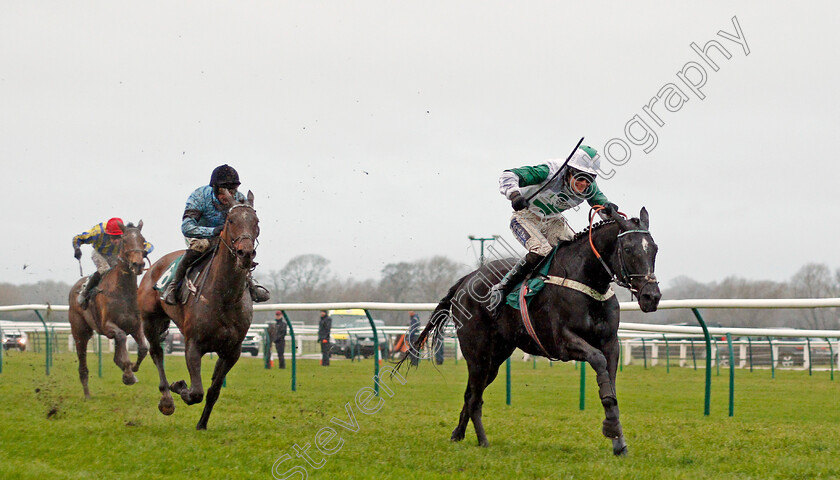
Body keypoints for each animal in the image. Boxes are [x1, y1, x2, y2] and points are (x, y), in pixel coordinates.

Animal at [68, 221, 149, 398]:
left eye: (142, 240)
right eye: (125, 240)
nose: (138, 264)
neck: (123, 292)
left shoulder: (136, 325)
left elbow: (143, 348)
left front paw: (132, 370)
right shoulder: (107, 326)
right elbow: (121, 338)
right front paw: (128, 374)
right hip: (80, 332)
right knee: (82, 364)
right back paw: (87, 394)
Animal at [137, 191, 260, 432]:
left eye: (256, 222)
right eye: (231, 221)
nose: (245, 253)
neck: (225, 296)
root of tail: (153, 266)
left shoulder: (232, 351)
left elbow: (213, 391)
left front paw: (202, 423)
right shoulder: (193, 345)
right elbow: (196, 392)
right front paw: (178, 385)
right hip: (150, 320)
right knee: (157, 353)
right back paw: (166, 399)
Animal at [400, 206, 664, 454]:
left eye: (654, 248)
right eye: (628, 249)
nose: (651, 296)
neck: (587, 280)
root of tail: (468, 279)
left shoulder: (610, 343)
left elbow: (611, 383)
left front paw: (619, 442)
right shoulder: (563, 342)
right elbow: (598, 362)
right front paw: (610, 427)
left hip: (495, 358)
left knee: (471, 394)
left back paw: (458, 434)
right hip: (477, 354)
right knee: (475, 398)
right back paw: (483, 441)